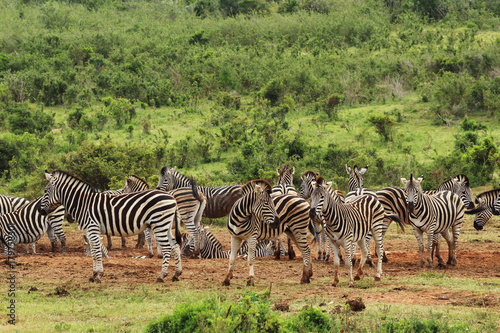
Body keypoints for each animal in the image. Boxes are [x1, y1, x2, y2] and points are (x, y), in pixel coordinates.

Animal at [38, 170, 184, 282]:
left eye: (45, 191)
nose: (40, 211)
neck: (83, 204)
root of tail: (172, 198)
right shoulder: (90, 232)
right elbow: (94, 253)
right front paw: (93, 275)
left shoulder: (93, 229)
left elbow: (97, 253)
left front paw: (99, 276)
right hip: (166, 226)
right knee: (175, 246)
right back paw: (176, 274)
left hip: (160, 224)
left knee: (167, 248)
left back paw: (162, 276)